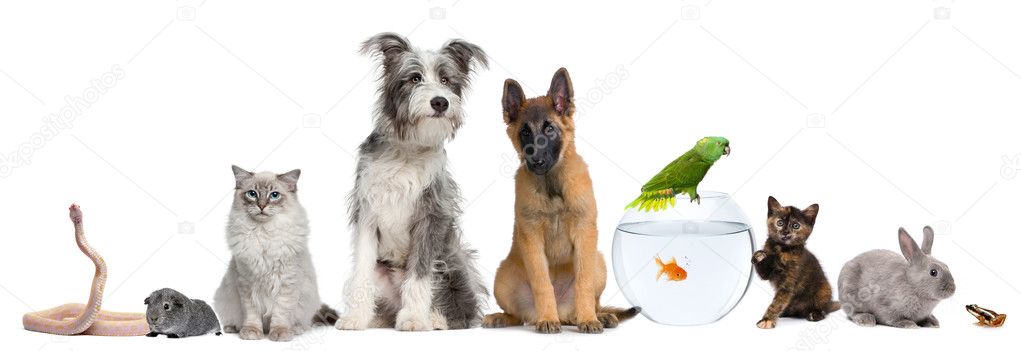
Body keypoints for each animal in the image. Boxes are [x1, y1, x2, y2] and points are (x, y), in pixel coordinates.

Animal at [213, 166, 324, 340]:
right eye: (252, 194)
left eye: (274, 195)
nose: (262, 206)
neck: (263, 233)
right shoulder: (246, 282)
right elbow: (252, 314)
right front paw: (251, 332)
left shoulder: (286, 282)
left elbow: (280, 313)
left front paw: (280, 333)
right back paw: (234, 328)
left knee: (303, 322)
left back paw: (296, 329)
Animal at [336, 32, 488, 332]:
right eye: (415, 78)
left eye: (446, 80)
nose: (440, 102)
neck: (408, 149)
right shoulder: (367, 214)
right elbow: (361, 271)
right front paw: (355, 318)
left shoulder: (430, 218)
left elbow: (419, 274)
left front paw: (415, 318)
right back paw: (378, 318)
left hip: (451, 263)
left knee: (460, 313)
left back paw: (435, 318)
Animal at [479, 67, 637, 332]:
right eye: (525, 132)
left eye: (549, 129)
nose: (535, 161)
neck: (552, 185)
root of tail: (564, 310)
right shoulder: (531, 238)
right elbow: (542, 283)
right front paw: (547, 318)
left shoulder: (584, 234)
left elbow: (584, 283)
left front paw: (588, 319)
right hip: (503, 278)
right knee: (518, 315)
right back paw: (504, 317)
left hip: (599, 262)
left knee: (593, 301)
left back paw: (596, 316)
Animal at [751, 195, 837, 328]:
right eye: (780, 223)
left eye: (795, 225)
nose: (785, 232)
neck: (781, 249)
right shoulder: (766, 274)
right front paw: (759, 255)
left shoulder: (788, 282)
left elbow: (777, 302)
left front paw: (767, 319)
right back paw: (785, 312)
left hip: (824, 290)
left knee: (823, 310)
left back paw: (815, 314)